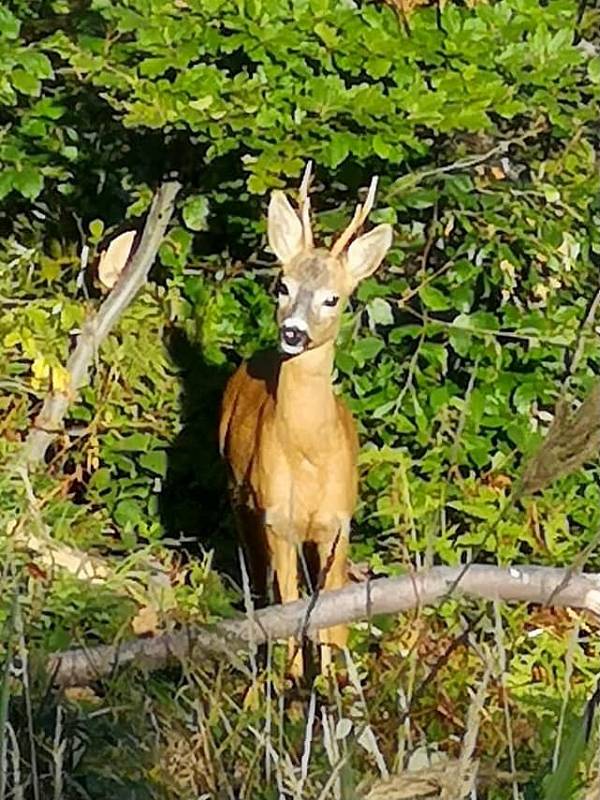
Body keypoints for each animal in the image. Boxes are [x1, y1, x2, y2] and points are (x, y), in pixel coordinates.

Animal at [218, 166, 392, 680]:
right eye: (283, 285)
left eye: (333, 298)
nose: (292, 333)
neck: (310, 456)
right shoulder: (277, 517)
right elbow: (290, 605)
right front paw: (293, 676)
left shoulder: (338, 521)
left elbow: (333, 615)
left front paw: (334, 680)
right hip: (238, 491)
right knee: (262, 579)